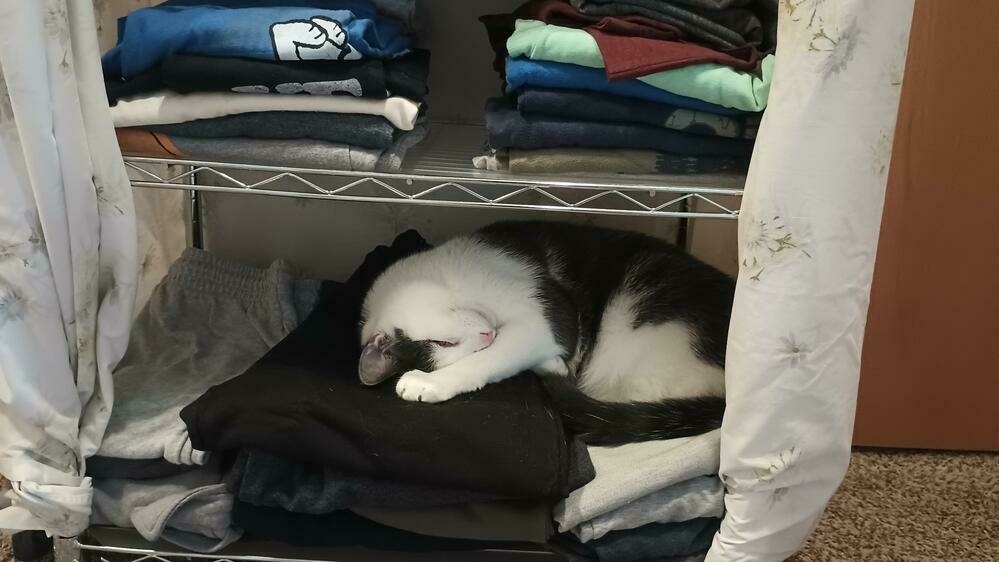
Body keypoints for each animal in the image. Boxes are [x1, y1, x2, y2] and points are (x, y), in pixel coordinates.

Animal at [360, 219, 736, 442]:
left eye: (443, 342)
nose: (487, 336)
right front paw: (551, 362)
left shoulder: (543, 319)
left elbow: (495, 359)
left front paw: (429, 383)